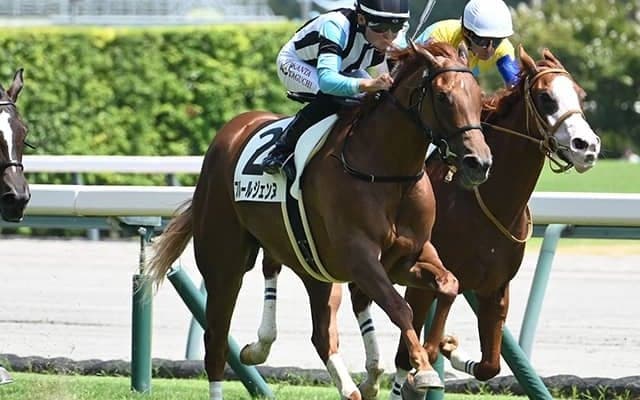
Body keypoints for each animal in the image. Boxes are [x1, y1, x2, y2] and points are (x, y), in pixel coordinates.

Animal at [145, 41, 492, 400]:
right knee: (216, 341)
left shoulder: (407, 257)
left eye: (479, 96)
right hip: (224, 264)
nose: (479, 162)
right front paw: (422, 369)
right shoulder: (359, 258)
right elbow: (400, 308)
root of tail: (231, 130)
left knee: (317, 329)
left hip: (311, 264)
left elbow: (449, 284)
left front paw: (434, 352)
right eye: (443, 96)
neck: (386, 173)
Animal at [240, 45, 601, 400]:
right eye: (545, 98)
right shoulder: (416, 283)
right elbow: (407, 347)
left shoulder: (495, 288)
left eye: (581, 95)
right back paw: (262, 344)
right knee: (277, 269)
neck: (483, 202)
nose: (587, 146)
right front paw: (429, 362)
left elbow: (490, 364)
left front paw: (449, 349)